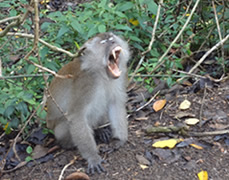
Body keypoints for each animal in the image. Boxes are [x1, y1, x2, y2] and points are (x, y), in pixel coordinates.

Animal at [45, 32, 130, 173]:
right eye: (103, 42)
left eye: (111, 38)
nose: (113, 42)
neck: (101, 74)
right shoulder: (85, 84)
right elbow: (76, 117)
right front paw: (93, 157)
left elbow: (115, 104)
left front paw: (118, 140)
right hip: (58, 130)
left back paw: (100, 129)